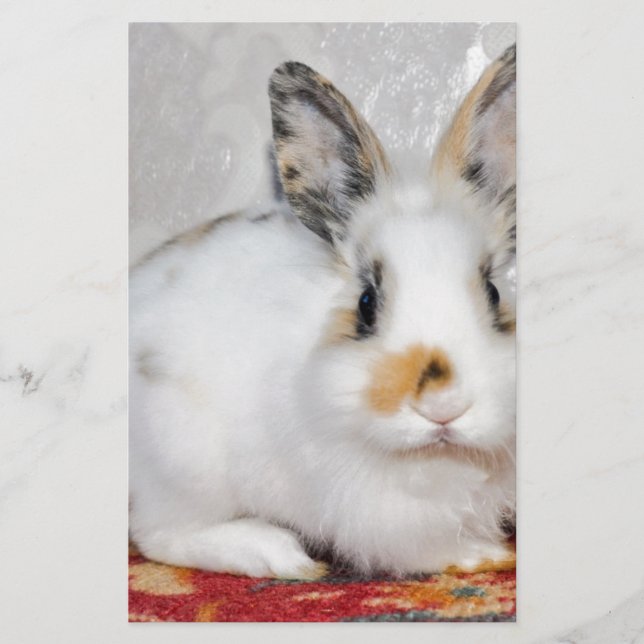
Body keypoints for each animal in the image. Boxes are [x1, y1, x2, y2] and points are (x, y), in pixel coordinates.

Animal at [129, 45, 516, 579]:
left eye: (494, 293)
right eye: (366, 304)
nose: (444, 406)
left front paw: (485, 551)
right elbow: (419, 547)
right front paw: (481, 555)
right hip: (184, 463)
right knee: (161, 537)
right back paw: (277, 556)